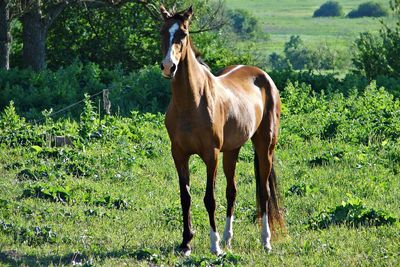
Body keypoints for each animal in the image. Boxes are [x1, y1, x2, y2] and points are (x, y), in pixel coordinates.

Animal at [159, 5, 284, 256]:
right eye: (162, 32)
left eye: (183, 34)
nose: (169, 66)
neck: (191, 102)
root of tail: (263, 77)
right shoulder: (179, 154)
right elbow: (185, 196)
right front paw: (186, 243)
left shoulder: (211, 155)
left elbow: (210, 198)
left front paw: (214, 245)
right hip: (232, 151)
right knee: (232, 191)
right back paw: (228, 238)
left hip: (265, 146)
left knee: (264, 192)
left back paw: (265, 241)